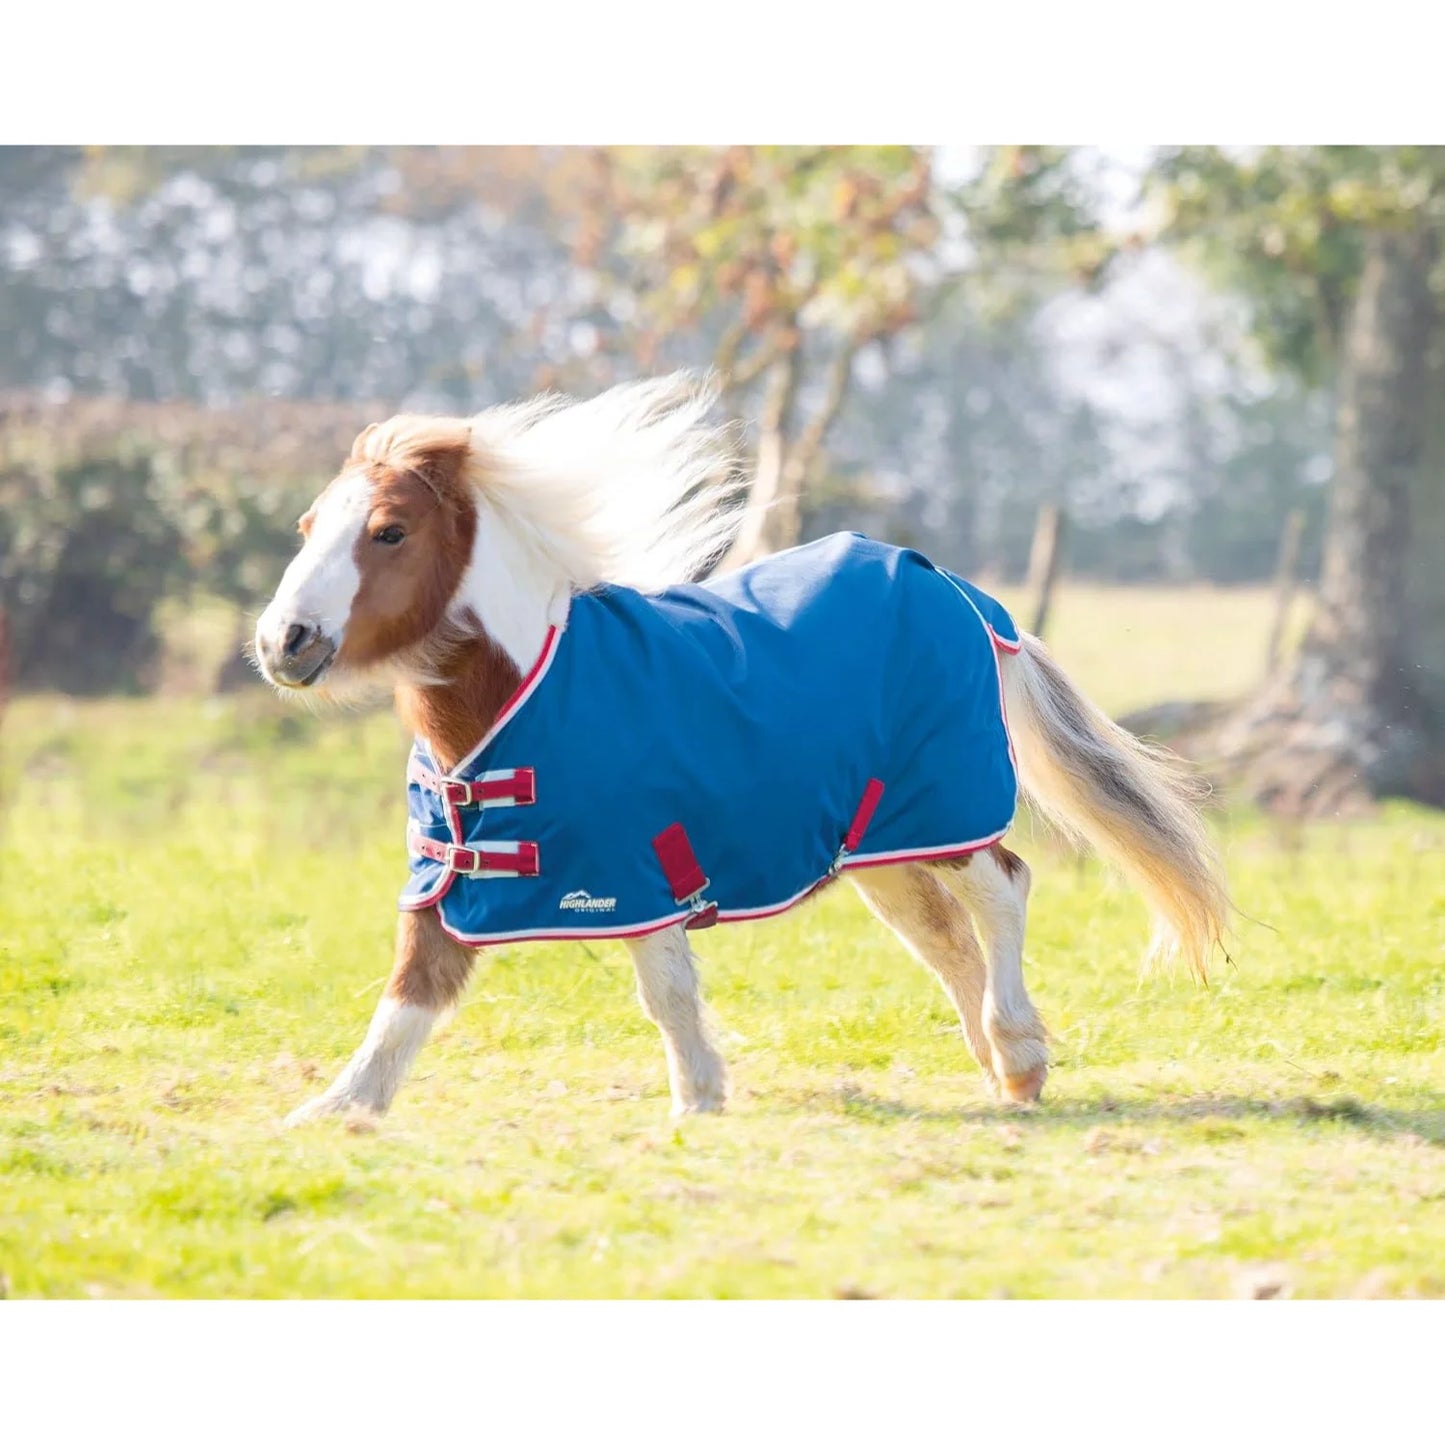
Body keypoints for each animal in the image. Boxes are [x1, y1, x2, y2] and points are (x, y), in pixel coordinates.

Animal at [254, 374, 1230, 1126]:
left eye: (389, 530)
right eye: (306, 526)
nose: (283, 641)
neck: (520, 695)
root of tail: (957, 589)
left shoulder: (630, 871)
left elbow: (664, 990)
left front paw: (697, 1103)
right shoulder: (451, 872)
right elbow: (407, 995)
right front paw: (332, 1111)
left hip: (942, 805)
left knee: (1002, 890)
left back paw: (1020, 1053)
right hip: (879, 840)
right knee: (943, 935)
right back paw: (997, 1068)